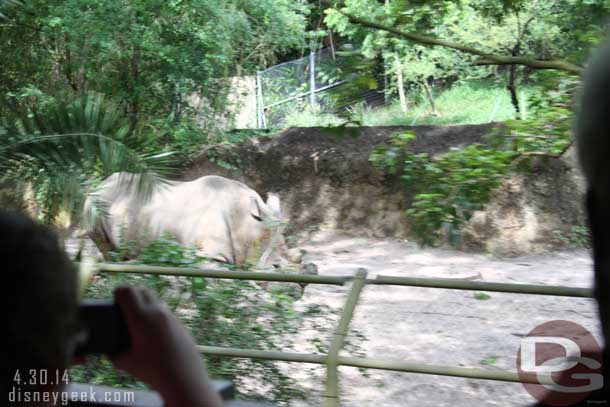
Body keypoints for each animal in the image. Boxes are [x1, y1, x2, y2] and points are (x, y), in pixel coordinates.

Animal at [84, 172, 302, 268]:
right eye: (276, 267)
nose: (298, 286)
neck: (246, 219)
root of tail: (101, 182)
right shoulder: (212, 253)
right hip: (96, 201)